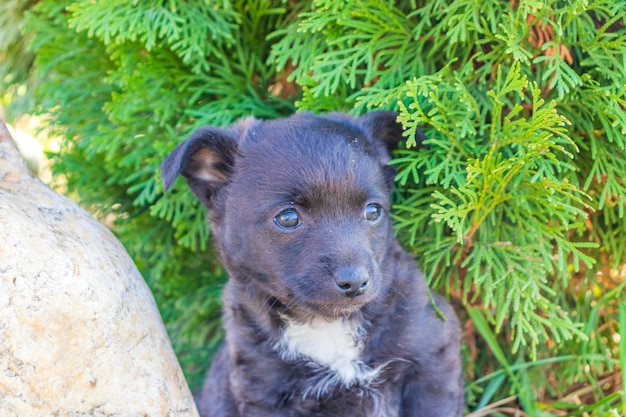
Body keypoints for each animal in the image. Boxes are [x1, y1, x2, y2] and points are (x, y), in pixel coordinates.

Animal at [161, 111, 464, 416]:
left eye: (373, 211)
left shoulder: (431, 364)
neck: (328, 325)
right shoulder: (262, 393)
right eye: (288, 218)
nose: (355, 282)